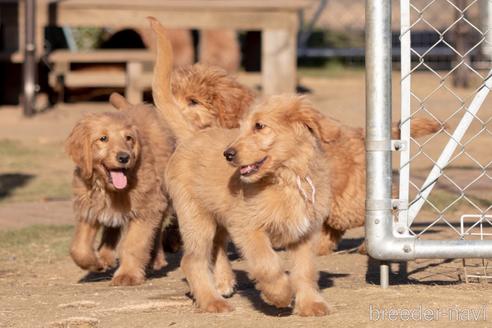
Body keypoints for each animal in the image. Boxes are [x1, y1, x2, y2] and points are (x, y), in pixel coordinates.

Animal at [64, 95, 174, 284]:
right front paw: (94, 264)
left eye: (128, 138)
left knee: (157, 230)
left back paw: (155, 259)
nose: (124, 157)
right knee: (111, 229)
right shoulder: (89, 207)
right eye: (103, 138)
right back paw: (104, 256)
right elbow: (78, 248)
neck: (109, 189)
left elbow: (134, 244)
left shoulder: (148, 207)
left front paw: (127, 275)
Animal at [150, 16, 332, 316]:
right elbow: (268, 264)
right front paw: (279, 294)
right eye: (242, 126)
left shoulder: (306, 234)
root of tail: (191, 135)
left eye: (259, 127)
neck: (287, 179)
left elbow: (305, 271)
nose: (228, 154)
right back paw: (212, 300)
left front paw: (311, 304)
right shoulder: (248, 228)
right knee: (192, 261)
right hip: (195, 217)